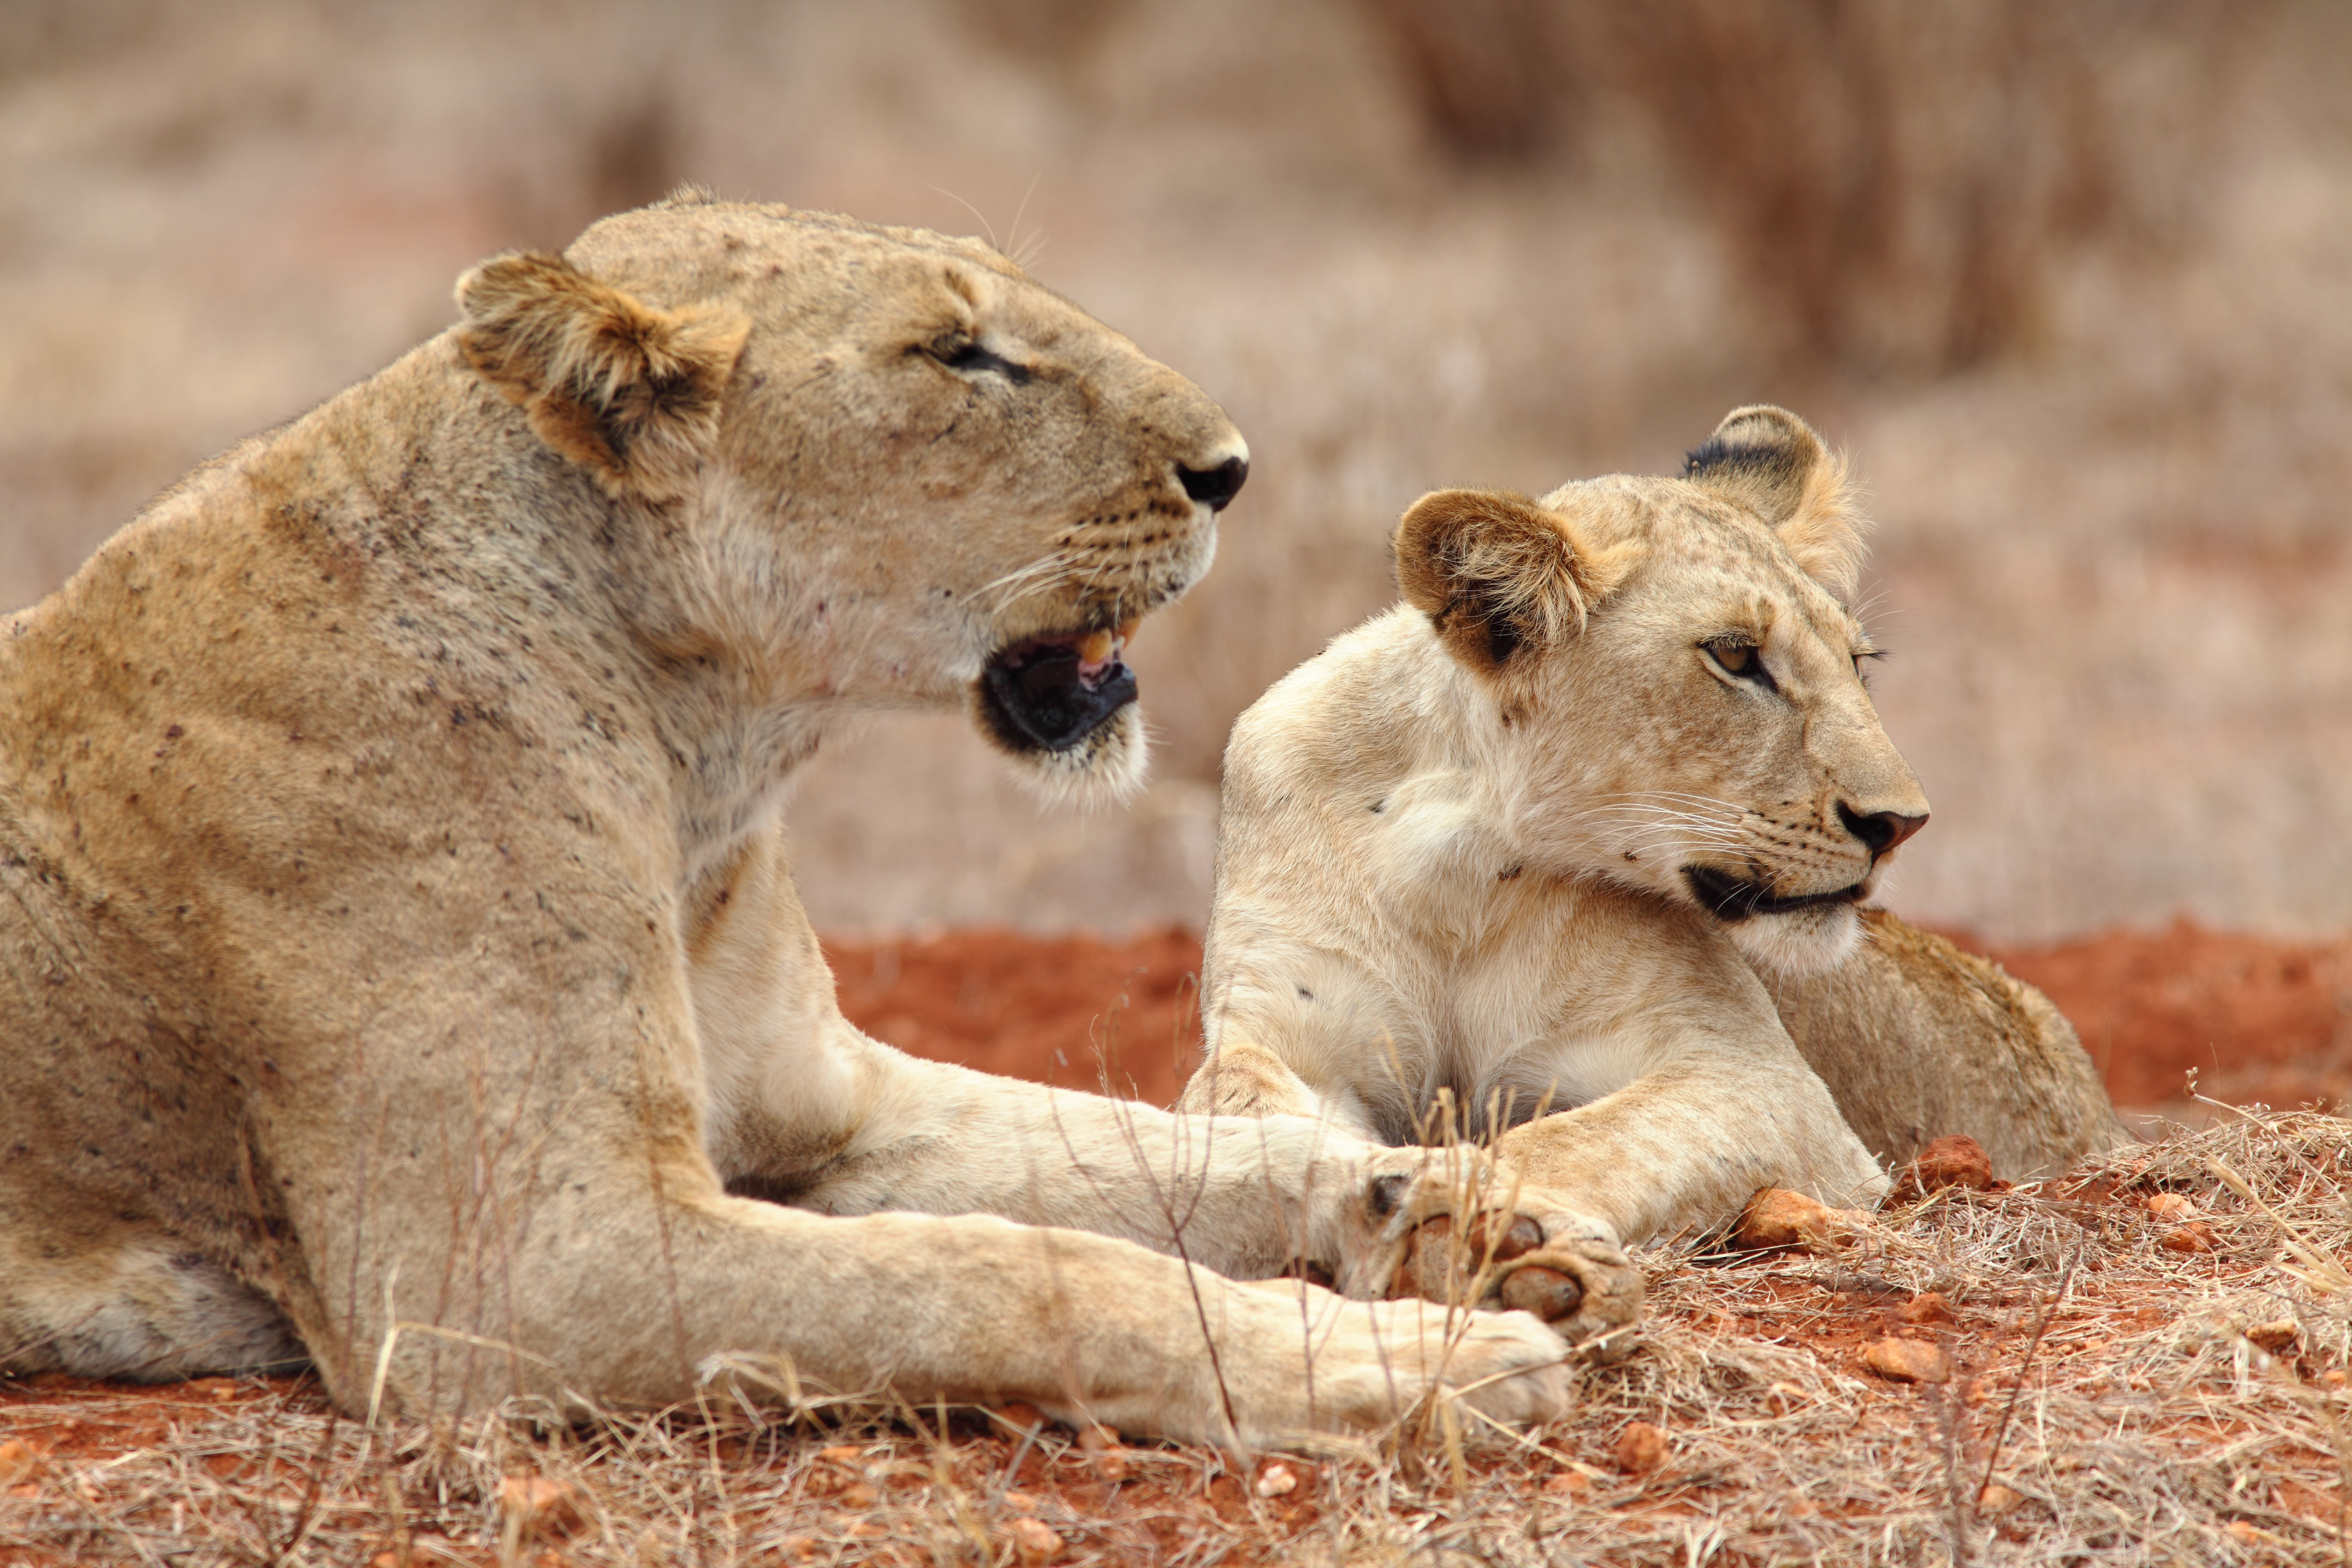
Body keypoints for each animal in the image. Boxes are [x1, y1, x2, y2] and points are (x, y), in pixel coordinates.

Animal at [0, 196, 1639, 1447]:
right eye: (961, 354)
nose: (1231, 467)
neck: (702, 769)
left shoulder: (838, 1106)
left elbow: (1176, 1157)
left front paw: (1469, 1214)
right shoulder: (513, 1270)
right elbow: (1002, 1268)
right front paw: (1396, 1363)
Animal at [1181, 407, 2131, 1249]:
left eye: (1858, 662)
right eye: (1737, 656)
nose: (1900, 823)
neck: (1453, 869)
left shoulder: (1756, 1078)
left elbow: (1569, 1139)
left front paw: (1449, 1203)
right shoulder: (1285, 1030)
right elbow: (1238, 1107)